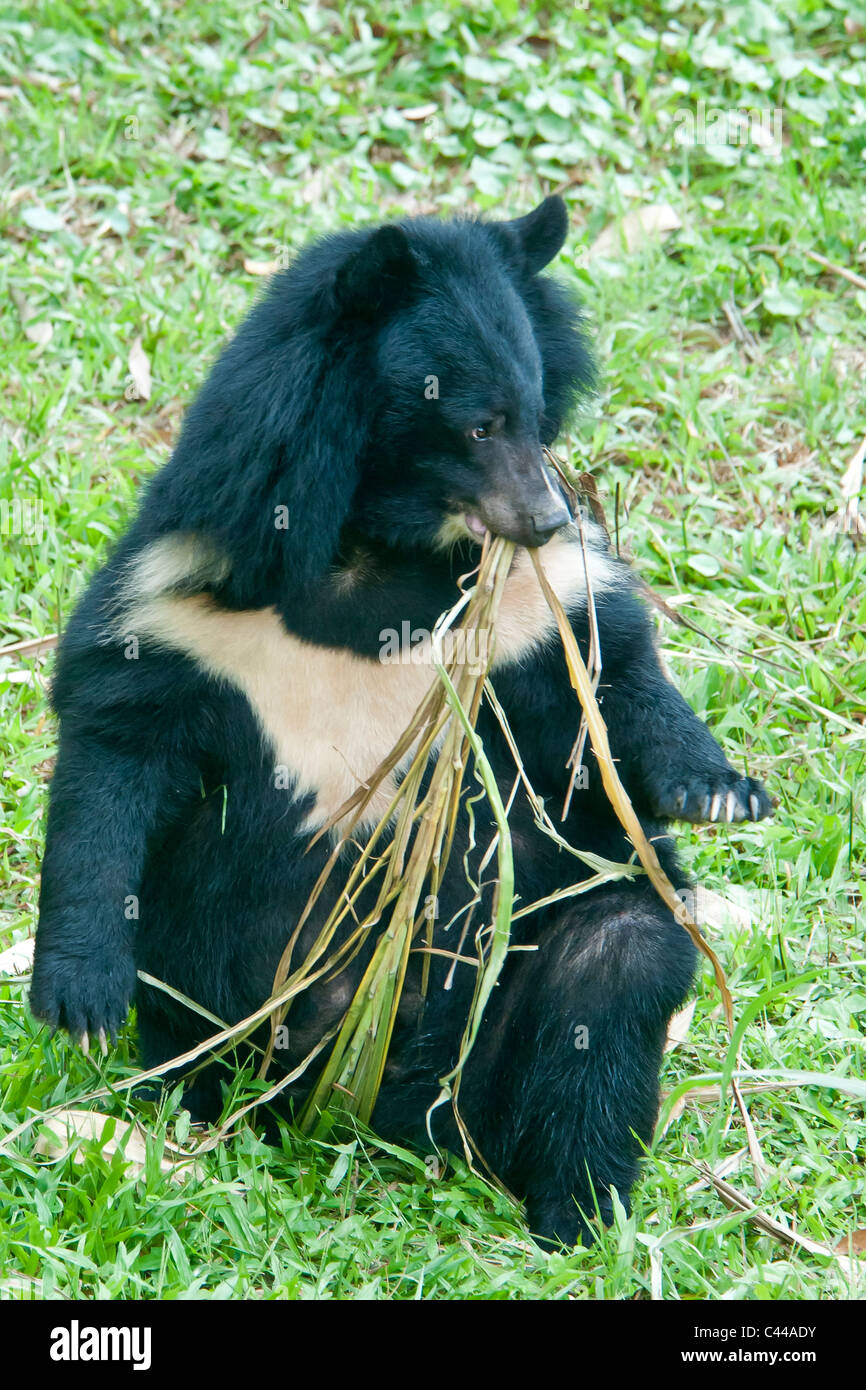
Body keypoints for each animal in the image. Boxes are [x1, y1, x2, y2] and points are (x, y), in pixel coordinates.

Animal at [30, 193, 772, 1239]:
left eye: (536, 416)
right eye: (477, 426)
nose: (548, 517)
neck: (372, 549)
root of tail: (390, 1108)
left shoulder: (529, 611)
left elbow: (612, 685)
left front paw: (721, 793)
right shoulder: (180, 602)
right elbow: (113, 756)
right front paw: (78, 1001)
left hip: (523, 993)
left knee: (614, 978)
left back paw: (578, 1213)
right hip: (210, 971)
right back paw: (178, 1105)